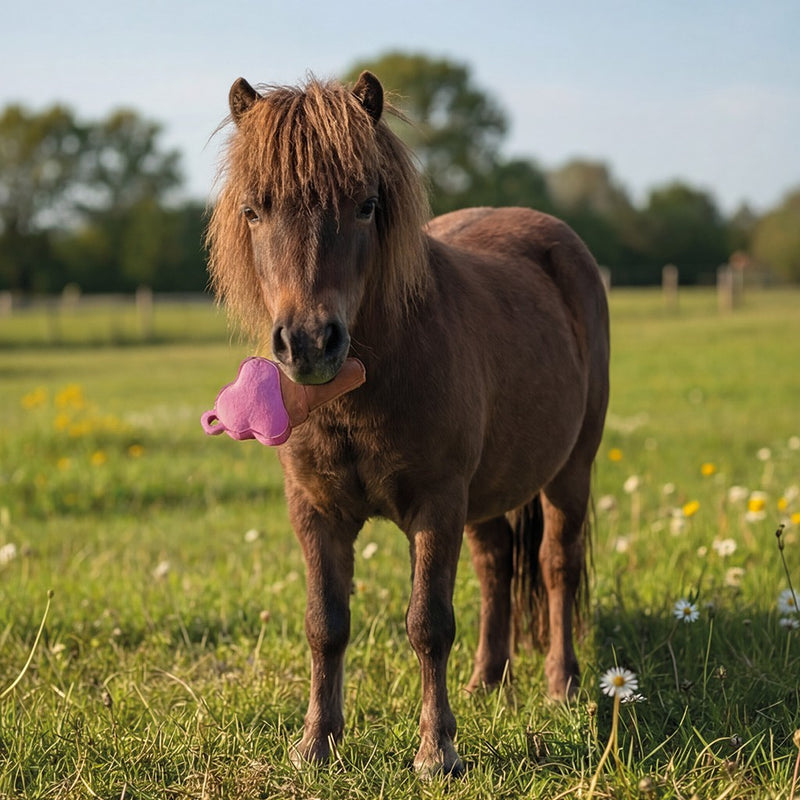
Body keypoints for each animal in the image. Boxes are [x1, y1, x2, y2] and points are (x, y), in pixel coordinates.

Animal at [207, 71, 610, 777]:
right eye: (254, 211)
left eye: (367, 205)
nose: (309, 342)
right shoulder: (315, 510)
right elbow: (325, 624)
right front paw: (316, 743)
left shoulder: (437, 504)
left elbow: (429, 624)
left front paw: (436, 751)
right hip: (487, 495)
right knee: (496, 567)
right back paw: (486, 682)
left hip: (570, 472)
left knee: (556, 565)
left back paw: (561, 685)